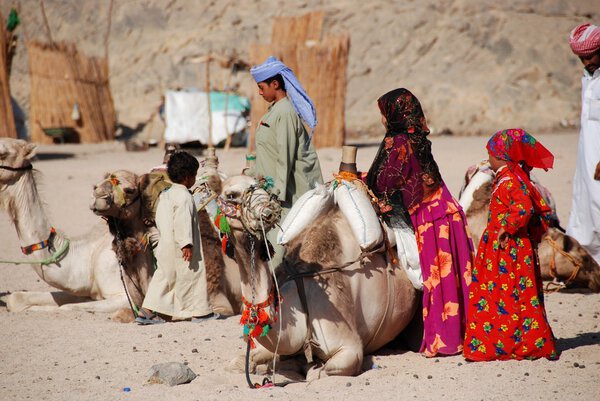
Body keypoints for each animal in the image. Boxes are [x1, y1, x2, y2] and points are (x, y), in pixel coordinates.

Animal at [0, 139, 132, 314]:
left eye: (3, 154)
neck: (89, 257)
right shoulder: (87, 290)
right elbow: (15, 298)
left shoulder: (124, 295)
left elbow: (65, 307)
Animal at [219, 174, 418, 378]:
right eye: (230, 194)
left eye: (262, 187)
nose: (269, 210)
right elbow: (238, 362)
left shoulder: (349, 348)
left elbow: (318, 372)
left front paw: (305, 366)